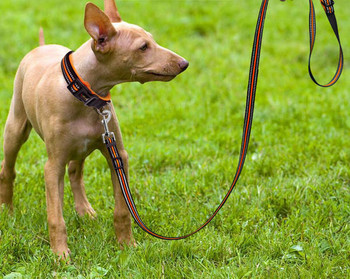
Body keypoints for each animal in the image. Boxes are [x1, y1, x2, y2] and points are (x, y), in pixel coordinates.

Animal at [0, 0, 189, 260]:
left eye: (152, 40)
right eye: (143, 47)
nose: (184, 64)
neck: (85, 95)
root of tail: (42, 46)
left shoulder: (117, 155)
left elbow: (122, 210)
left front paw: (127, 245)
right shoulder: (52, 166)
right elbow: (55, 216)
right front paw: (60, 255)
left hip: (82, 147)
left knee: (75, 171)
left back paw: (84, 210)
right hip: (16, 128)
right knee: (8, 169)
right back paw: (7, 210)